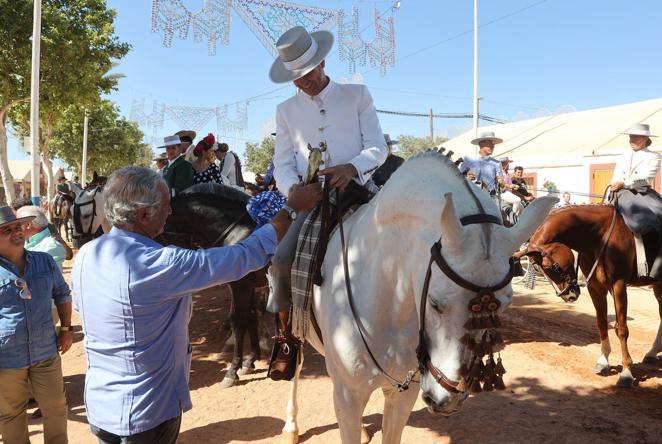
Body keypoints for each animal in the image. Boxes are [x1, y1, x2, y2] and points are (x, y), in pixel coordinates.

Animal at [157, 182, 268, 386]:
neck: (240, 233)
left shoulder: (241, 286)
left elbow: (239, 322)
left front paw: (232, 371)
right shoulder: (247, 287)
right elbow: (251, 318)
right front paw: (250, 361)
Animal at [282, 150, 556, 444]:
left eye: (504, 305)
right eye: (435, 303)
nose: (446, 399)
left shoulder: (403, 394)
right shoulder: (348, 397)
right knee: (296, 367)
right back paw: (291, 426)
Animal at [520, 203, 662, 386]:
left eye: (552, 267)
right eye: (538, 270)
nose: (569, 295)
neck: (599, 236)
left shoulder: (618, 285)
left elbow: (622, 328)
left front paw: (626, 372)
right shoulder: (595, 288)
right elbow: (601, 323)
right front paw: (603, 361)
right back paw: (652, 353)